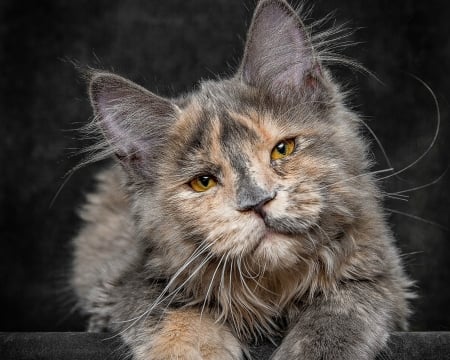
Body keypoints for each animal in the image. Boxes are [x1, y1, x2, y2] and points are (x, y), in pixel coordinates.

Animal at [72, 0, 414, 360]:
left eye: (282, 149)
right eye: (204, 182)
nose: (258, 203)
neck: (272, 290)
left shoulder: (380, 273)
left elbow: (340, 312)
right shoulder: (127, 282)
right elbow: (177, 315)